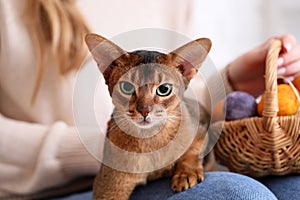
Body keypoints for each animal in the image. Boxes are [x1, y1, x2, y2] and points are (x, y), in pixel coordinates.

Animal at [85, 33, 213, 199]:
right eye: (126, 87)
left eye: (164, 89)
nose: (145, 110)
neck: (150, 140)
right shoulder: (108, 185)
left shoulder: (201, 131)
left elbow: (193, 151)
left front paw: (186, 174)